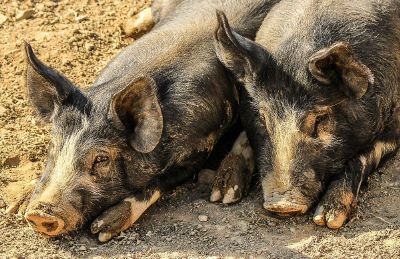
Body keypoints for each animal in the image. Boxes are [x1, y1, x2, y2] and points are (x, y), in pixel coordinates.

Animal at [13, 0, 282, 242]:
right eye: (52, 147)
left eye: (101, 159)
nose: (39, 214)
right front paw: (21, 204)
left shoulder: (199, 148)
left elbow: (157, 184)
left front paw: (102, 229)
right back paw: (129, 26)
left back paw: (225, 193)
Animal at [214, 0, 400, 231]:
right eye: (263, 118)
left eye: (319, 119)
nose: (282, 205)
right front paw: (222, 195)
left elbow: (363, 156)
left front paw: (328, 218)